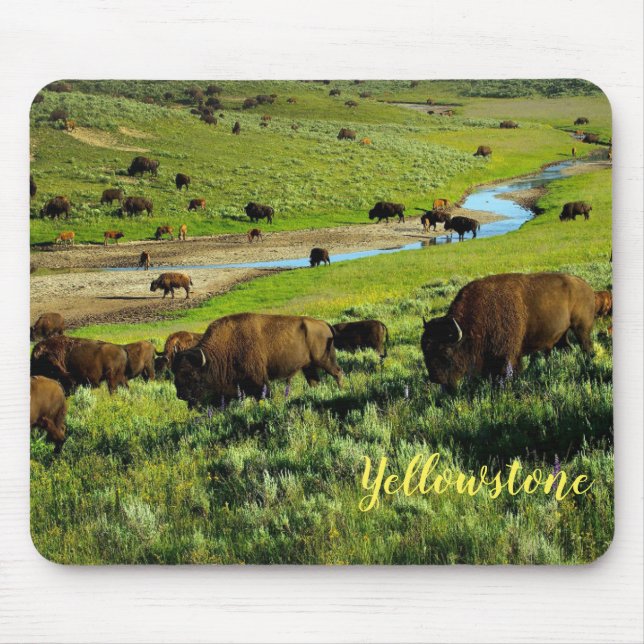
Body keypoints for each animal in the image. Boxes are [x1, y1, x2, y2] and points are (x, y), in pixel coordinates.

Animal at [171, 313, 343, 406]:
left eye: (192, 374)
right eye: (175, 373)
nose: (181, 395)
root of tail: (324, 324)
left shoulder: (259, 379)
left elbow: (264, 394)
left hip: (325, 360)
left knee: (338, 372)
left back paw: (341, 391)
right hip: (308, 366)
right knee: (315, 381)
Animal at [421, 272, 596, 391]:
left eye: (446, 352)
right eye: (425, 352)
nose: (435, 378)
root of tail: (587, 287)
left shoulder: (507, 357)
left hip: (581, 329)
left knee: (587, 348)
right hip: (562, 336)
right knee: (568, 348)